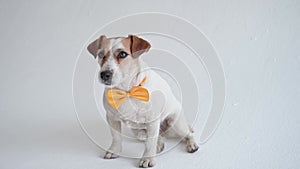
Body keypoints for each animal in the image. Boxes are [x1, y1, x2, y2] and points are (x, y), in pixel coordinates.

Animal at [86, 35, 199, 167]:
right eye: (100, 54)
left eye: (122, 54)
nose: (104, 74)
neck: (127, 90)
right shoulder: (112, 119)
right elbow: (116, 137)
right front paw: (114, 151)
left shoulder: (152, 121)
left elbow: (150, 143)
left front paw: (148, 158)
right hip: (138, 132)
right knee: (158, 137)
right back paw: (160, 144)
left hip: (176, 123)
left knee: (187, 134)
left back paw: (191, 144)